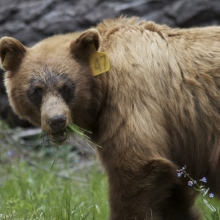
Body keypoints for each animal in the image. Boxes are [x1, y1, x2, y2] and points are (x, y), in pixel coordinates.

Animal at [0, 16, 220, 219]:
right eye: (37, 90)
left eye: (66, 87)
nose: (56, 120)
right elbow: (172, 195)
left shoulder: (130, 97)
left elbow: (134, 166)